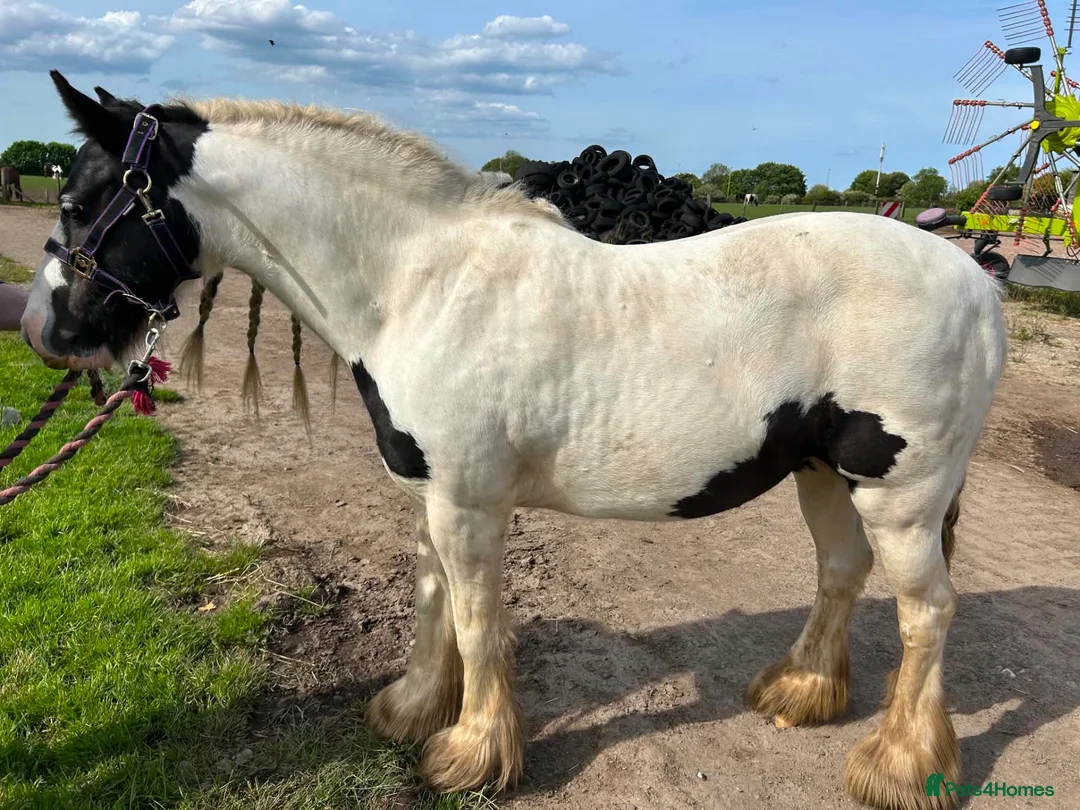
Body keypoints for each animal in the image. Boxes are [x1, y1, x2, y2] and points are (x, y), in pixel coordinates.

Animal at [21, 71, 1008, 810]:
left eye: (79, 200)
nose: (42, 330)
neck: (416, 283)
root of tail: (977, 284)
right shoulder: (432, 498)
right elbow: (431, 604)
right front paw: (414, 710)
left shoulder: (469, 503)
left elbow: (476, 618)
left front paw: (471, 756)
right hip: (822, 474)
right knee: (841, 575)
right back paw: (801, 694)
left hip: (900, 497)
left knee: (927, 613)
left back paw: (896, 767)